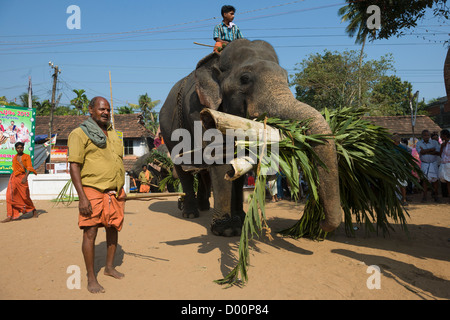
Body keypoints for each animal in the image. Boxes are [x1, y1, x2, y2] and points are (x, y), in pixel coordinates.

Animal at [160, 38, 340, 236]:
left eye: (287, 78)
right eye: (245, 79)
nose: (322, 222)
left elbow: (237, 163)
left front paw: (240, 218)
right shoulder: (198, 111)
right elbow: (220, 157)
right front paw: (226, 229)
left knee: (202, 171)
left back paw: (204, 207)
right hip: (168, 133)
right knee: (183, 170)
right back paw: (191, 213)